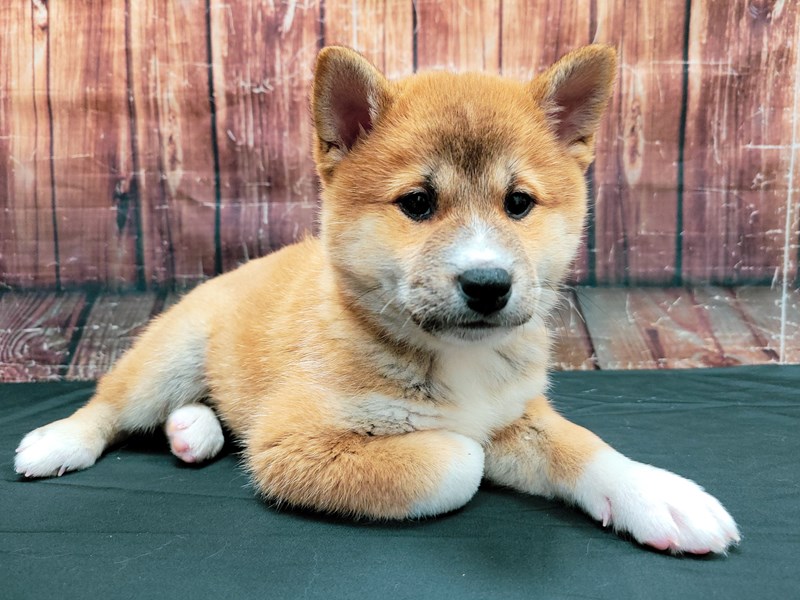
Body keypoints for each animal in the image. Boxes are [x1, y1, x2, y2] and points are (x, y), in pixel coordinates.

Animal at [12, 45, 740, 552]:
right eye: (416, 203)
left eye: (518, 203)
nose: (488, 284)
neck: (453, 361)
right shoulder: (292, 444)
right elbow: (461, 458)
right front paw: (458, 445)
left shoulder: (517, 409)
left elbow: (583, 446)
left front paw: (654, 493)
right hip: (167, 358)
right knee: (109, 407)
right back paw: (62, 440)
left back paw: (193, 431)